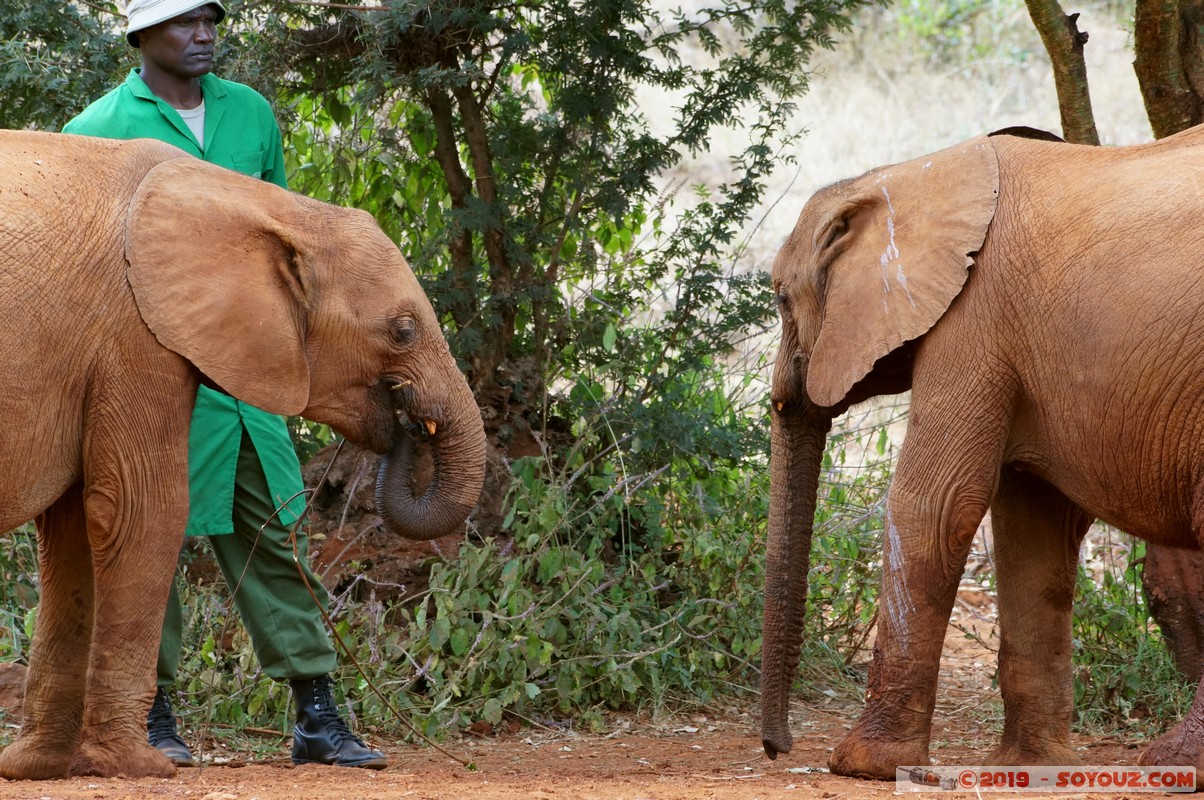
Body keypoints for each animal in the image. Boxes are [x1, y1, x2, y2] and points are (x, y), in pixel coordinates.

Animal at [765, 121, 1204, 785]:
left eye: (780, 299)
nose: (779, 748)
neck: (905, 175)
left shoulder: (973, 320)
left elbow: (936, 503)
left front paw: (861, 766)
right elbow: (1033, 531)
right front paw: (1032, 767)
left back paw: (1173, 761)